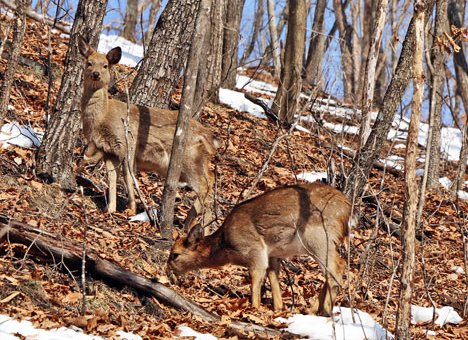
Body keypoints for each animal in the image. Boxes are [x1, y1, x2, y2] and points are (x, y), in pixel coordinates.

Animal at [77, 37, 217, 226]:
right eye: (89, 63)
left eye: (105, 65)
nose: (96, 74)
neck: (102, 118)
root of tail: (209, 136)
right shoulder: (109, 151)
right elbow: (112, 178)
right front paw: (110, 209)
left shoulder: (128, 144)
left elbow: (128, 177)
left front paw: (131, 209)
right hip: (197, 162)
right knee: (209, 182)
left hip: (190, 159)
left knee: (204, 187)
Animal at [166, 182, 352, 318]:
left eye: (175, 255)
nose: (168, 272)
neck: (226, 247)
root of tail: (347, 210)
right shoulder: (273, 255)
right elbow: (273, 277)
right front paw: (278, 308)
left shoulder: (254, 248)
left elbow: (255, 278)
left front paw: (253, 308)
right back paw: (314, 310)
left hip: (319, 237)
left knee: (337, 268)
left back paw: (322, 311)